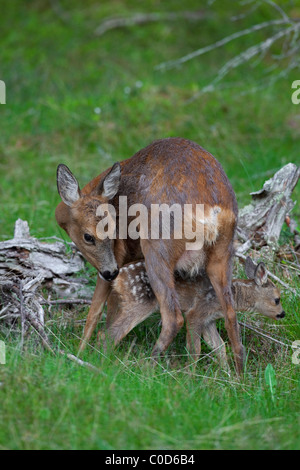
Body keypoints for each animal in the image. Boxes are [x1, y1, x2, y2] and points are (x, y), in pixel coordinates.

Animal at [55, 138, 244, 372]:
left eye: (112, 231)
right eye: (89, 237)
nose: (110, 272)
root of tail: (212, 210)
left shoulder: (118, 258)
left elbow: (96, 311)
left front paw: (80, 354)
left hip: (157, 247)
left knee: (173, 317)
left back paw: (148, 366)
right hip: (222, 254)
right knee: (231, 314)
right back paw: (237, 375)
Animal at [104, 255, 284, 370]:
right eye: (277, 299)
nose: (282, 314)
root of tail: (119, 275)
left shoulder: (209, 320)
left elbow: (219, 346)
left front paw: (227, 375)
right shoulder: (197, 311)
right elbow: (195, 349)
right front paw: (190, 376)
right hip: (140, 302)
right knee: (110, 334)